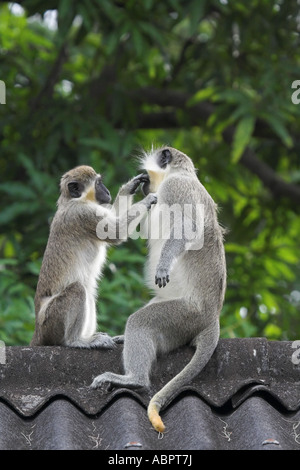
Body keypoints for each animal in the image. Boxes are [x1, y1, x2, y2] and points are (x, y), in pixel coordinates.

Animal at [30, 165, 157, 348]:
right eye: (98, 183)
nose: (108, 192)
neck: (73, 201)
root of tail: (37, 331)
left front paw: (129, 186)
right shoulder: (84, 214)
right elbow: (115, 233)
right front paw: (147, 200)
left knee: (88, 295)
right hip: (51, 322)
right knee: (78, 289)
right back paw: (74, 341)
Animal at [91, 147, 227, 434]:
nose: (143, 187)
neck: (182, 172)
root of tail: (213, 317)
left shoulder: (177, 188)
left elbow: (189, 227)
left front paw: (163, 264)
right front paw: (128, 189)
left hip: (185, 316)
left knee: (142, 322)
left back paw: (134, 380)